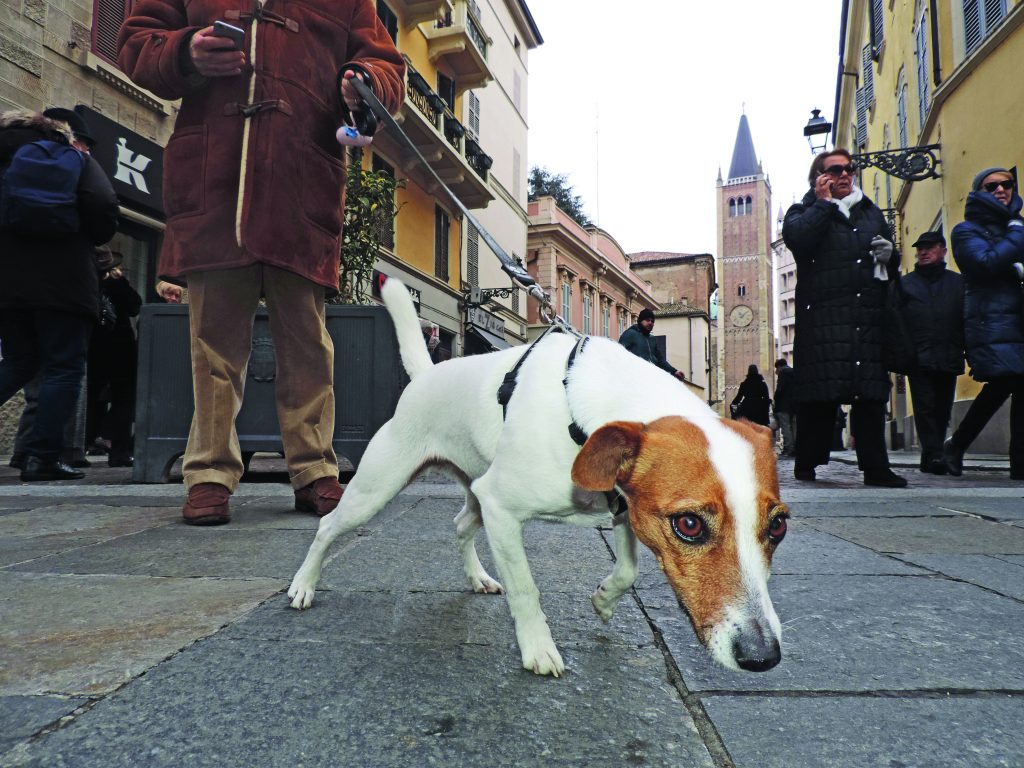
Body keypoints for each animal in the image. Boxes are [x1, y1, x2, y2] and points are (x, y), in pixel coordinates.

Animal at [292, 280, 786, 675]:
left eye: (778, 526)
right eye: (689, 525)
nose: (763, 656)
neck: (581, 416)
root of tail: (425, 375)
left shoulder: (625, 507)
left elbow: (627, 569)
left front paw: (604, 599)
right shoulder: (502, 509)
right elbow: (526, 589)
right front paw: (538, 648)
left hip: (474, 490)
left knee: (460, 524)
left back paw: (478, 577)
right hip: (378, 488)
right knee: (328, 525)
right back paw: (303, 585)